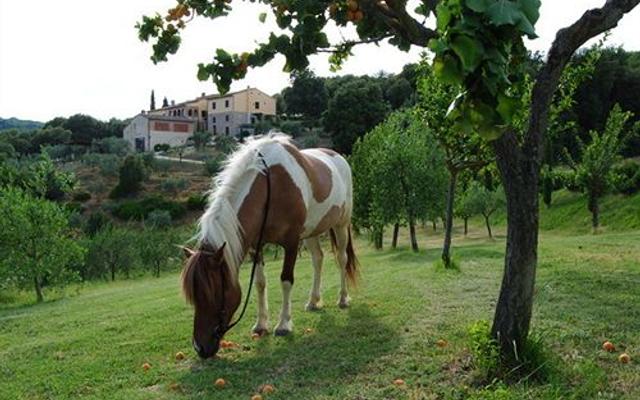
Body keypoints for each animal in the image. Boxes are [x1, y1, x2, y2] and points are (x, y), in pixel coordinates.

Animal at [182, 133, 358, 358]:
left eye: (214, 294)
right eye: (193, 297)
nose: (200, 348)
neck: (270, 184)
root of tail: (339, 157)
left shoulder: (291, 242)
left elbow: (286, 280)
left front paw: (283, 324)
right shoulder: (256, 247)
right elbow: (260, 283)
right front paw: (261, 325)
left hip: (341, 224)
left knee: (342, 259)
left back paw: (343, 299)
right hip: (311, 232)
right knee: (318, 259)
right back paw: (313, 301)